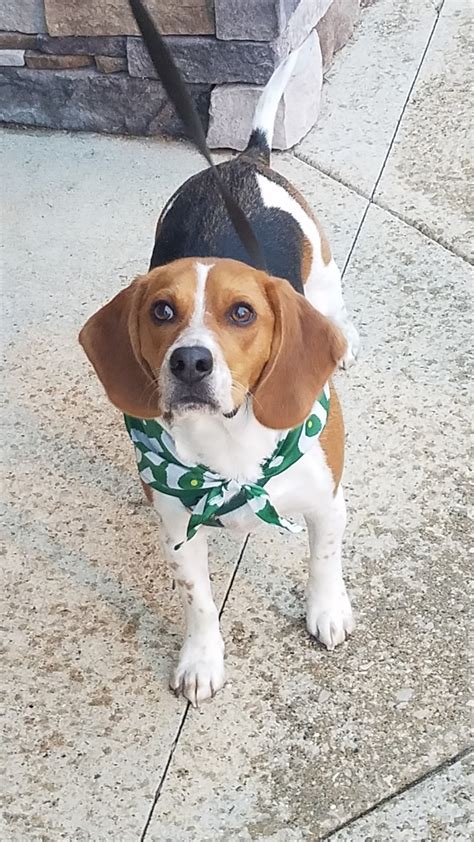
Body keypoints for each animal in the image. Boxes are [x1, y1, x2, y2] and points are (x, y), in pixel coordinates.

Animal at [78, 47, 360, 704]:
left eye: (243, 313)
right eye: (162, 311)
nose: (190, 362)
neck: (232, 443)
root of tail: (243, 160)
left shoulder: (326, 502)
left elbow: (324, 559)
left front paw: (327, 610)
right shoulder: (180, 529)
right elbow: (200, 602)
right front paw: (201, 661)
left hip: (325, 277)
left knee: (336, 311)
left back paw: (345, 342)